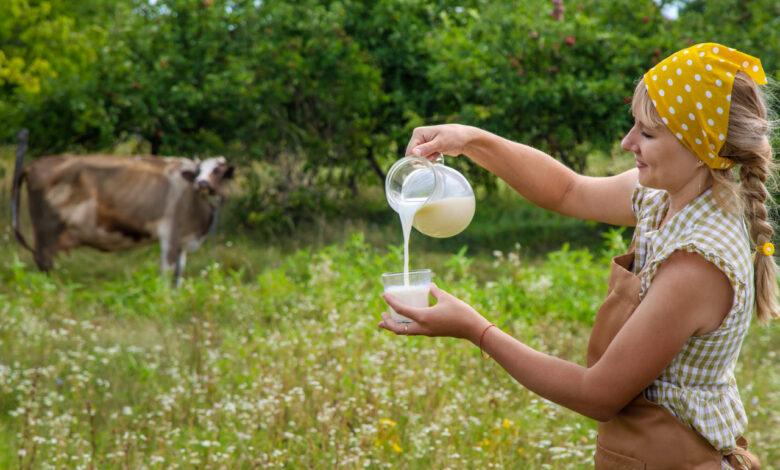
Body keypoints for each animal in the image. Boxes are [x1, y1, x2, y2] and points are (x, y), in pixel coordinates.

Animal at [10, 130, 235, 288]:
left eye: (218, 171)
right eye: (199, 170)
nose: (201, 183)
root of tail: (34, 165)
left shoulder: (183, 242)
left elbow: (178, 277)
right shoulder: (170, 237)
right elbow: (167, 274)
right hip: (47, 231)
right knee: (45, 263)